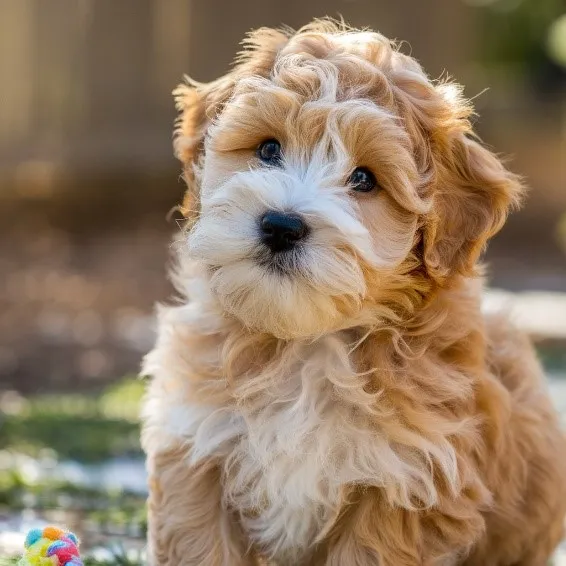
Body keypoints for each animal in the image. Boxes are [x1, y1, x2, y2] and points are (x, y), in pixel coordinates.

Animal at [141, 18, 566, 566]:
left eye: (364, 179)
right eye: (268, 149)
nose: (281, 225)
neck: (308, 343)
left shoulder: (406, 483)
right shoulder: (196, 450)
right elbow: (202, 545)